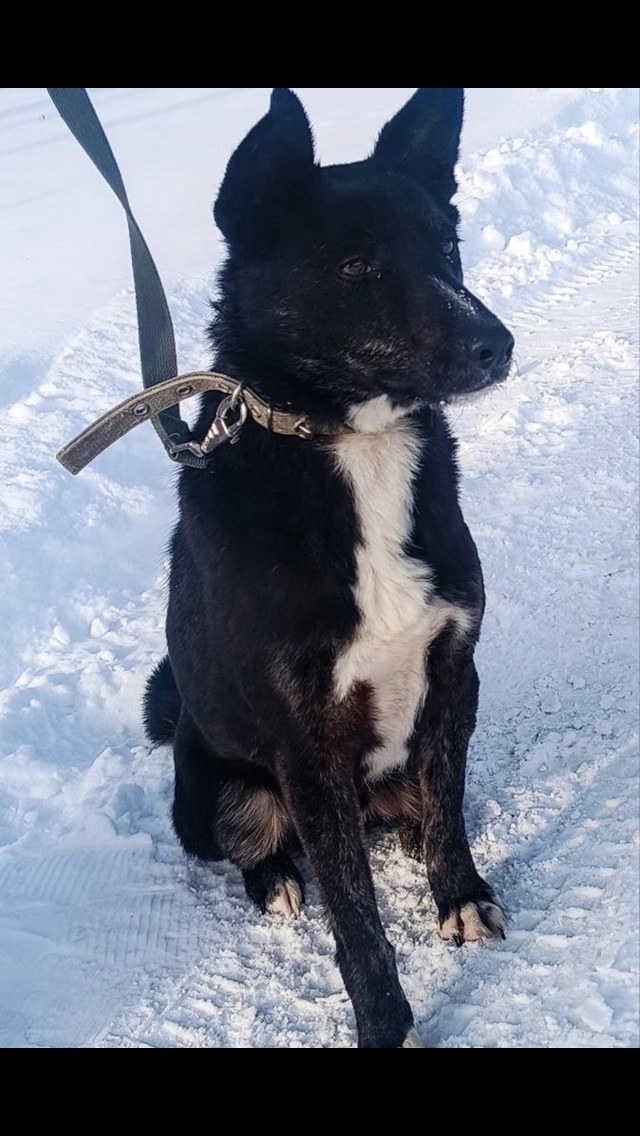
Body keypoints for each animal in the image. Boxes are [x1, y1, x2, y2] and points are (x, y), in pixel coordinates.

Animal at [144, 87, 514, 1048]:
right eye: (355, 266)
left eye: (447, 247)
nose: (498, 345)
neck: (357, 443)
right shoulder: (306, 747)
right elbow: (356, 913)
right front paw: (387, 1019)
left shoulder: (454, 671)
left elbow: (450, 807)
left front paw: (459, 896)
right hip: (223, 790)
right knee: (268, 847)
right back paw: (274, 879)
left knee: (420, 803)